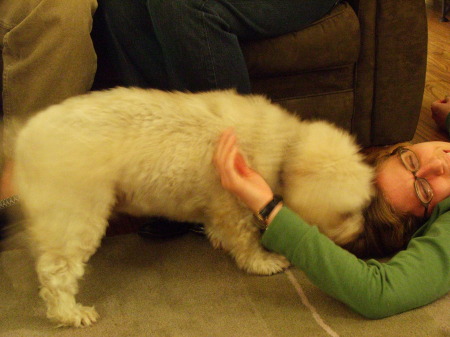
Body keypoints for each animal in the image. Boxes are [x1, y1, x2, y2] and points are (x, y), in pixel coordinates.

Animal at [14, 86, 372, 326]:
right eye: (345, 213)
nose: (360, 235)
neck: (286, 146)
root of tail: (25, 136)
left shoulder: (217, 202)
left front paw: (215, 237)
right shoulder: (232, 205)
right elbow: (245, 241)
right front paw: (262, 261)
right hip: (76, 213)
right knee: (56, 272)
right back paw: (70, 313)